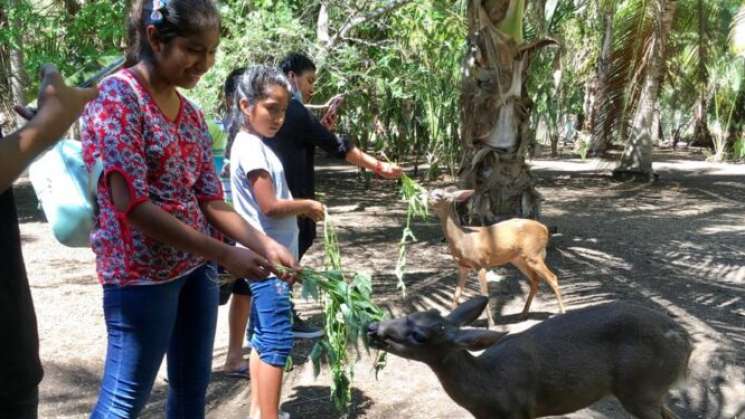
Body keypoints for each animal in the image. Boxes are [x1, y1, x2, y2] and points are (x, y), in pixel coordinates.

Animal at [370, 296, 688, 418]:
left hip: (642, 388)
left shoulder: (520, 410)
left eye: (419, 335)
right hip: (650, 391)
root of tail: (686, 343)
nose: (373, 328)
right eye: (410, 313)